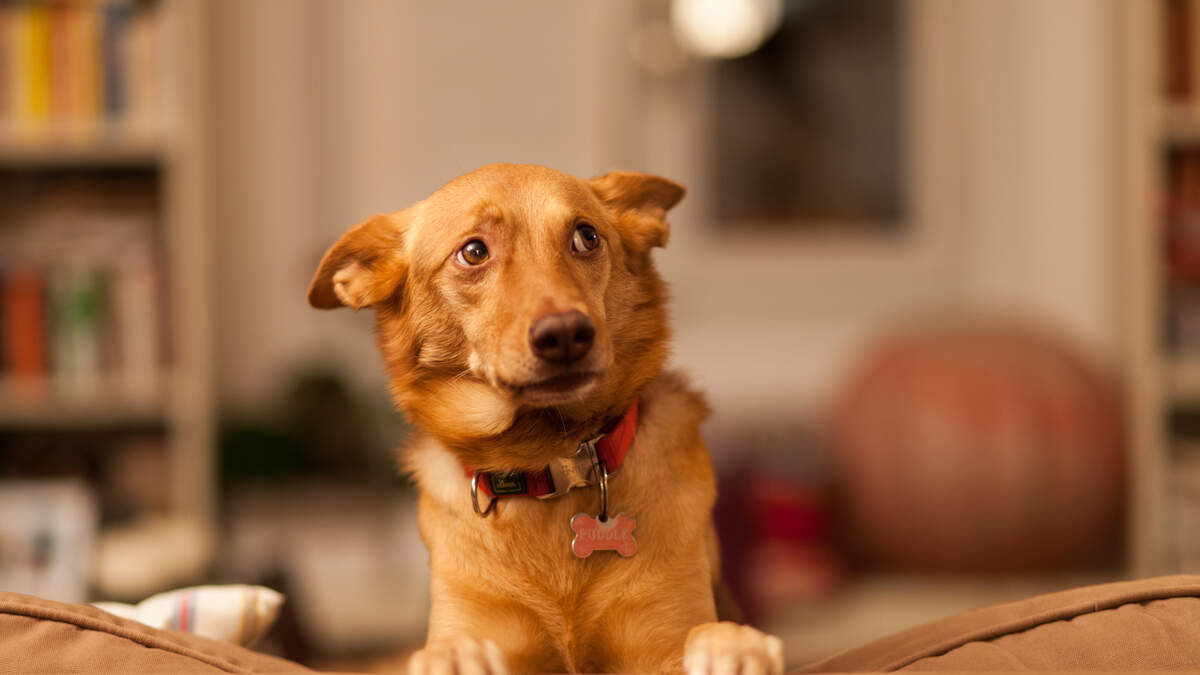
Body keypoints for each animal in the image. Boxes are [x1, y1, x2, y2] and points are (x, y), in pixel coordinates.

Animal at [308, 163, 784, 674]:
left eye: (586, 237)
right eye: (473, 252)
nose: (566, 334)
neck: (548, 460)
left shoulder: (660, 638)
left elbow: (700, 635)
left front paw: (734, 644)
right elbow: (452, 647)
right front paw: (450, 658)